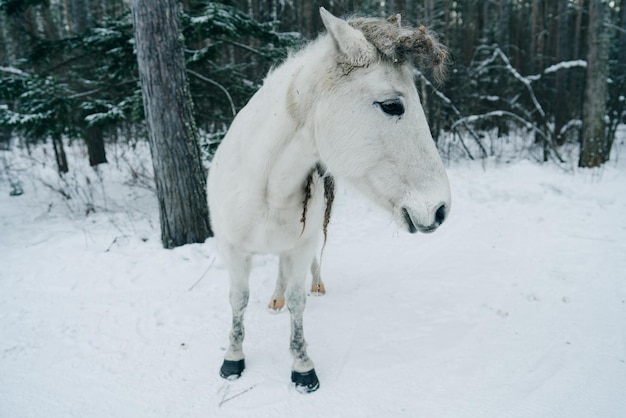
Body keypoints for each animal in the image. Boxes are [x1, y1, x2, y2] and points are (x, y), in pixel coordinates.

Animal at [208, 7, 448, 392]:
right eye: (392, 105)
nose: (439, 209)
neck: (265, 187)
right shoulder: (231, 249)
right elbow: (238, 300)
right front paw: (233, 359)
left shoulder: (301, 246)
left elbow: (297, 301)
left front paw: (302, 367)